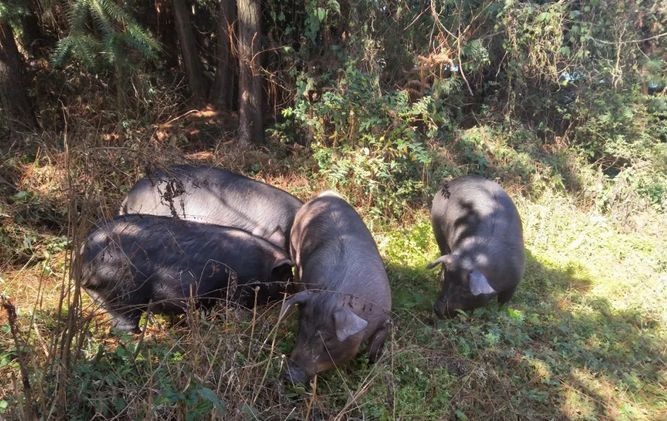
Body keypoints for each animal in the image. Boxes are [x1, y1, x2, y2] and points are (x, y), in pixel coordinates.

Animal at [79, 213, 294, 332]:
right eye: (286, 276)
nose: (293, 288)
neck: (262, 265)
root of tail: (83, 255)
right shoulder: (238, 289)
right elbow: (235, 310)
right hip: (123, 292)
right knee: (124, 319)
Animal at [280, 192, 392, 382]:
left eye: (328, 341)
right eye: (301, 328)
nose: (289, 374)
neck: (333, 296)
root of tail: (326, 193)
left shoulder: (386, 318)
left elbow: (375, 346)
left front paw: (372, 363)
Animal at [430, 176, 524, 316]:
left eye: (464, 291)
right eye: (446, 282)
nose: (437, 310)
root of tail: (450, 183)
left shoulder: (514, 282)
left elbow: (503, 302)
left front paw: (499, 313)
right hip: (437, 228)